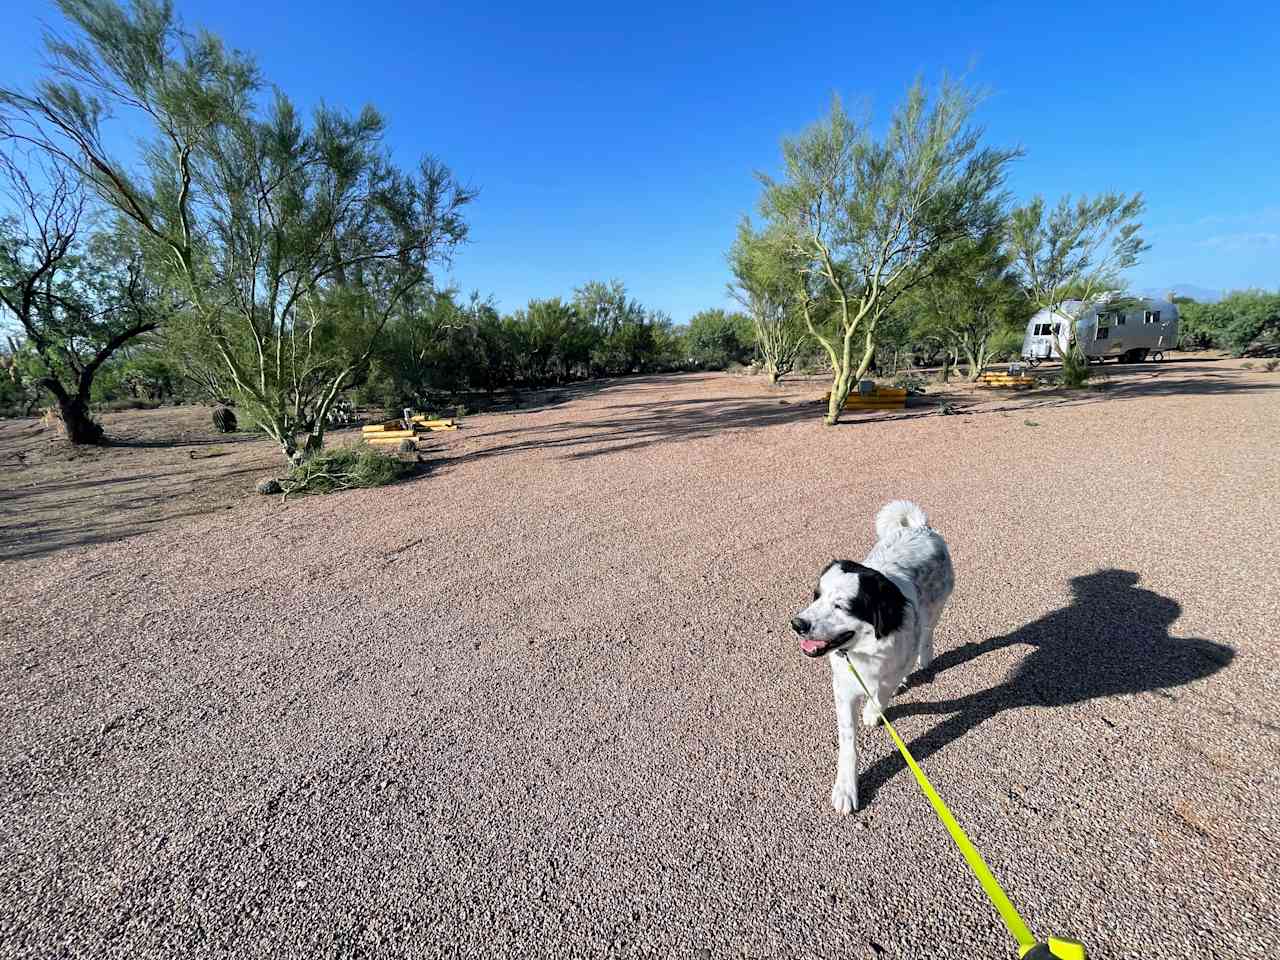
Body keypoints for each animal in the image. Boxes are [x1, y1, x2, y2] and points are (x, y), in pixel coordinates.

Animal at [783, 504, 957, 814]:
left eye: (840, 606)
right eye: (816, 596)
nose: (797, 624)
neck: (864, 650)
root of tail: (920, 528)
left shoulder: (887, 671)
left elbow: (881, 694)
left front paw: (873, 712)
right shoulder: (843, 686)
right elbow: (848, 741)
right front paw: (846, 787)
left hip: (936, 606)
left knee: (927, 632)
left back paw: (924, 658)